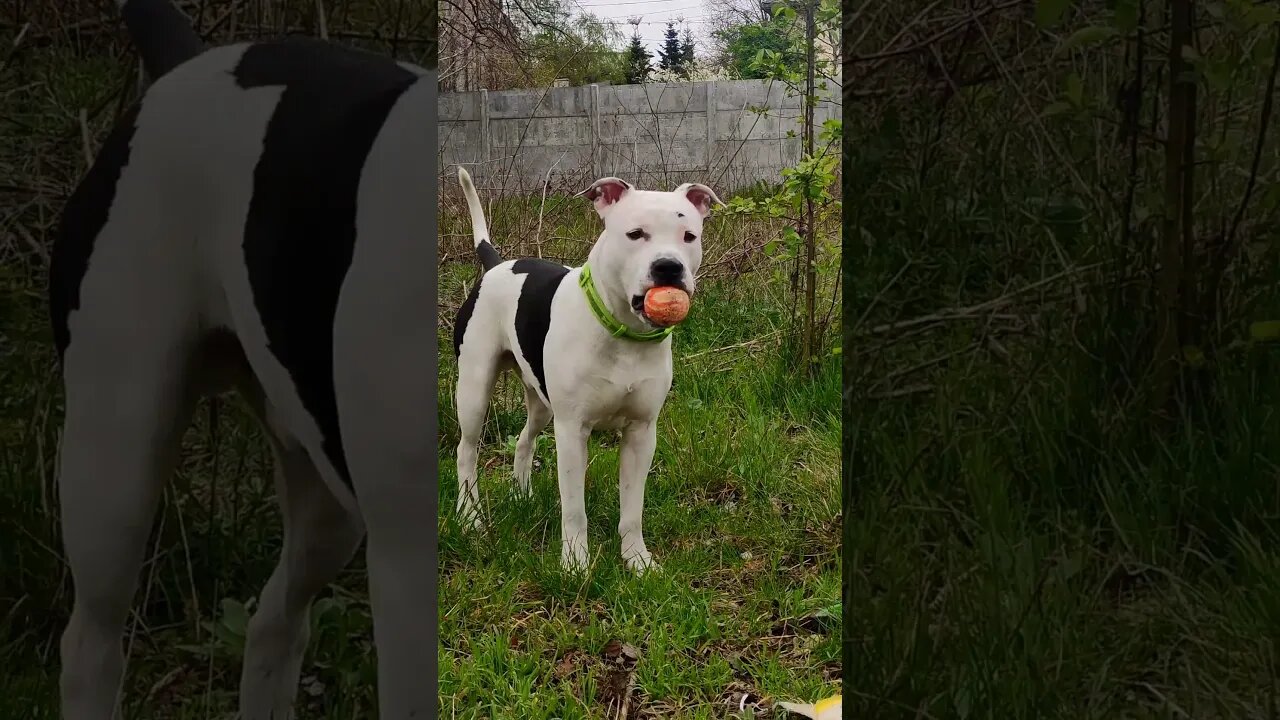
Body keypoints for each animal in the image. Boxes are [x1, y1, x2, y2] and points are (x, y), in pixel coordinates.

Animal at [48, 1, 435, 717]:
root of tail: (186, 64)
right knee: (90, 645)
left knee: (275, 623)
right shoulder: (411, 581)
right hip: (113, 465)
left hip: (326, 497)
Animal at [450, 166, 721, 571]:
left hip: (541, 404)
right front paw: (575, 563)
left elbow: (632, 509)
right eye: (635, 233)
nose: (669, 267)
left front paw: (637, 560)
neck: (623, 331)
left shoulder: (641, 433)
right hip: (474, 390)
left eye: (689, 236)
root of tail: (497, 265)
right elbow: (574, 509)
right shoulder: (572, 431)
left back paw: (522, 498)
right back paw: (470, 519)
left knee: (525, 440)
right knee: (466, 451)